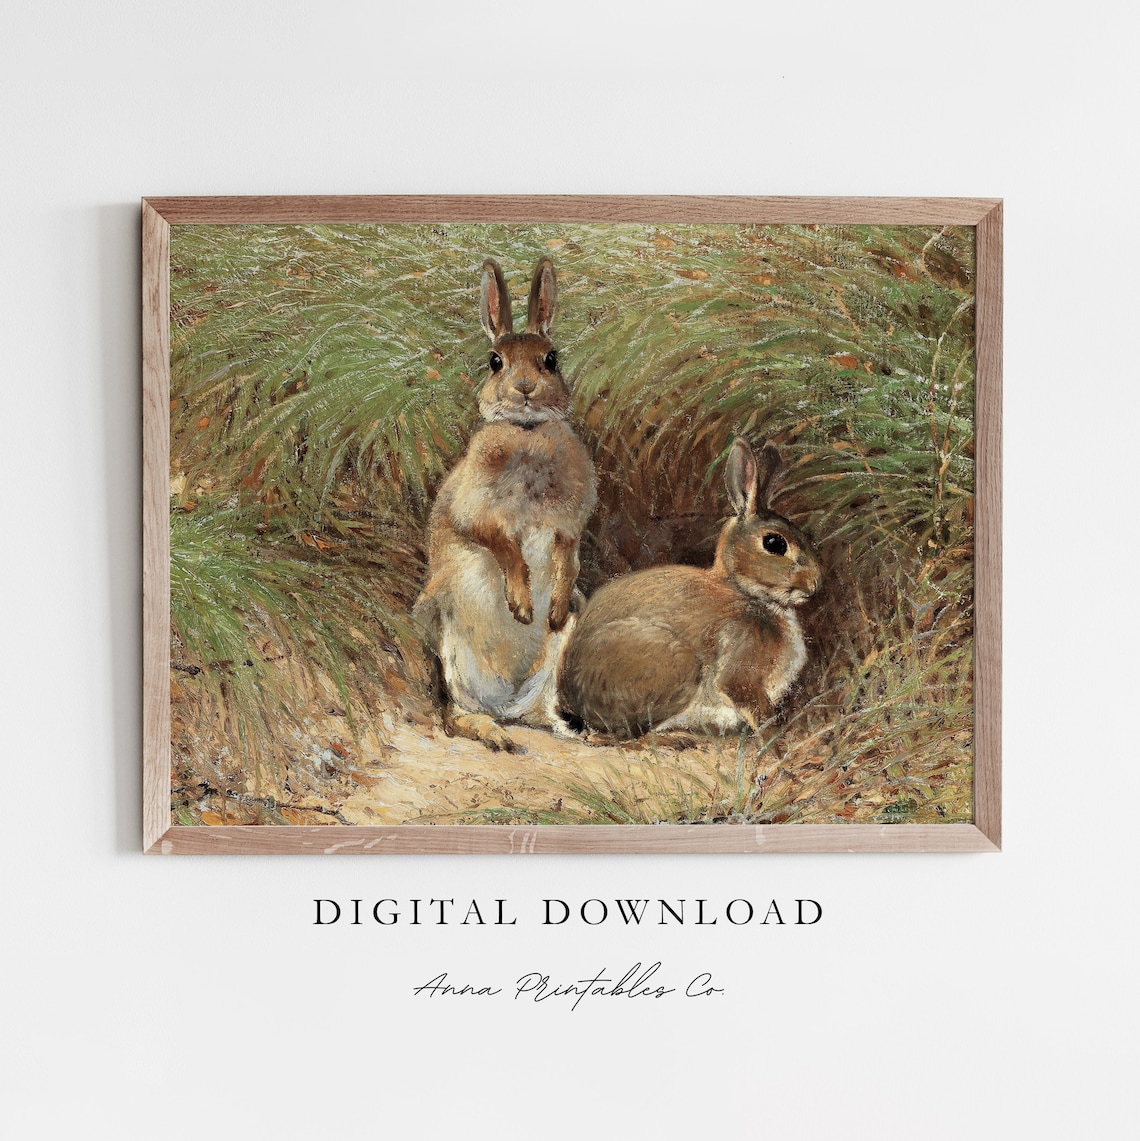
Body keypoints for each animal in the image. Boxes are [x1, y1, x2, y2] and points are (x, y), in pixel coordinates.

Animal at [413, 256, 597, 752]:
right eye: (495, 362)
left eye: (551, 359)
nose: (526, 388)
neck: (526, 434)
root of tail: (507, 702)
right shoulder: (474, 513)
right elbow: (503, 545)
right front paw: (521, 607)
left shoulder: (568, 526)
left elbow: (568, 557)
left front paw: (549, 610)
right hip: (449, 642)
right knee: (454, 713)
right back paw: (493, 733)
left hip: (556, 656)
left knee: (542, 710)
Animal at [558, 437, 822, 740]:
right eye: (775, 544)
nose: (815, 584)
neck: (745, 592)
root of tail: (571, 699)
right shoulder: (740, 670)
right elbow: (754, 707)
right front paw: (775, 737)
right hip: (677, 665)